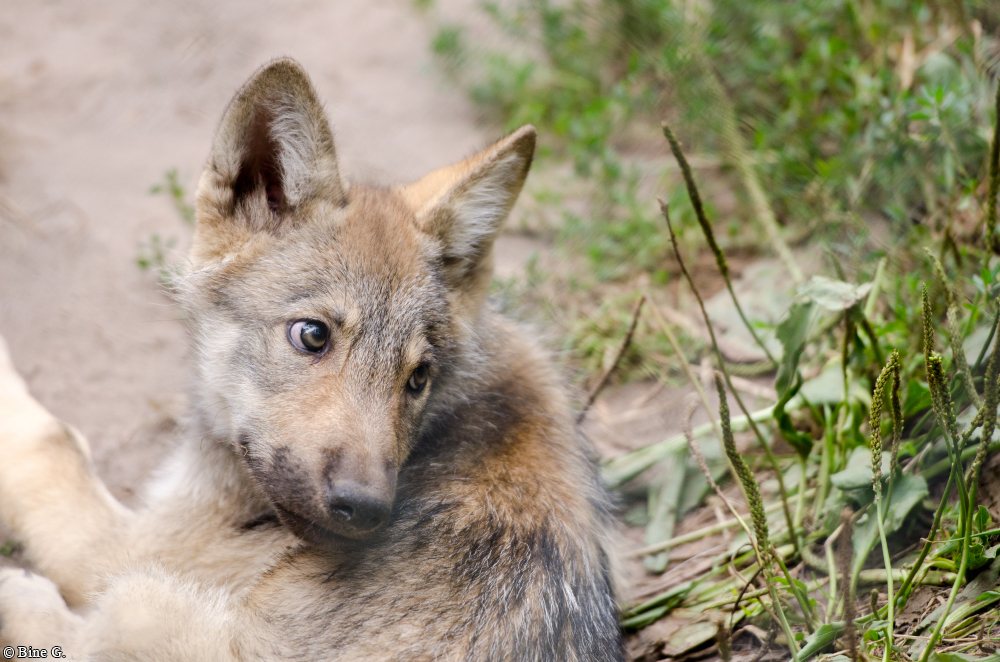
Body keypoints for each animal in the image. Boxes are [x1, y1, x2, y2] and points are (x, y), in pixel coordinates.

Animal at [0, 58, 626, 661]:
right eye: (312, 335)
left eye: (418, 378)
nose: (368, 509)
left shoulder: (128, 550)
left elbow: (49, 441)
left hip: (141, 598)